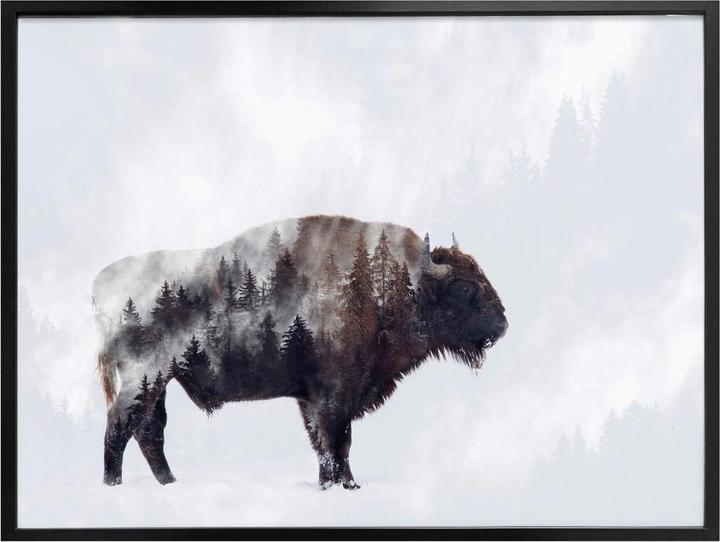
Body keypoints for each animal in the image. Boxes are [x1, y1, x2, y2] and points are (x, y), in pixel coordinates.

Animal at [94, 215, 507, 489]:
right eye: (464, 287)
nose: (502, 325)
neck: (390, 283)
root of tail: (102, 281)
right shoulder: (333, 395)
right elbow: (335, 442)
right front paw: (341, 486)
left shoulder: (313, 397)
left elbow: (330, 443)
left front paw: (340, 485)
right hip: (145, 378)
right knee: (120, 427)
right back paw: (114, 485)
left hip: (159, 382)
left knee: (149, 431)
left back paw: (170, 483)